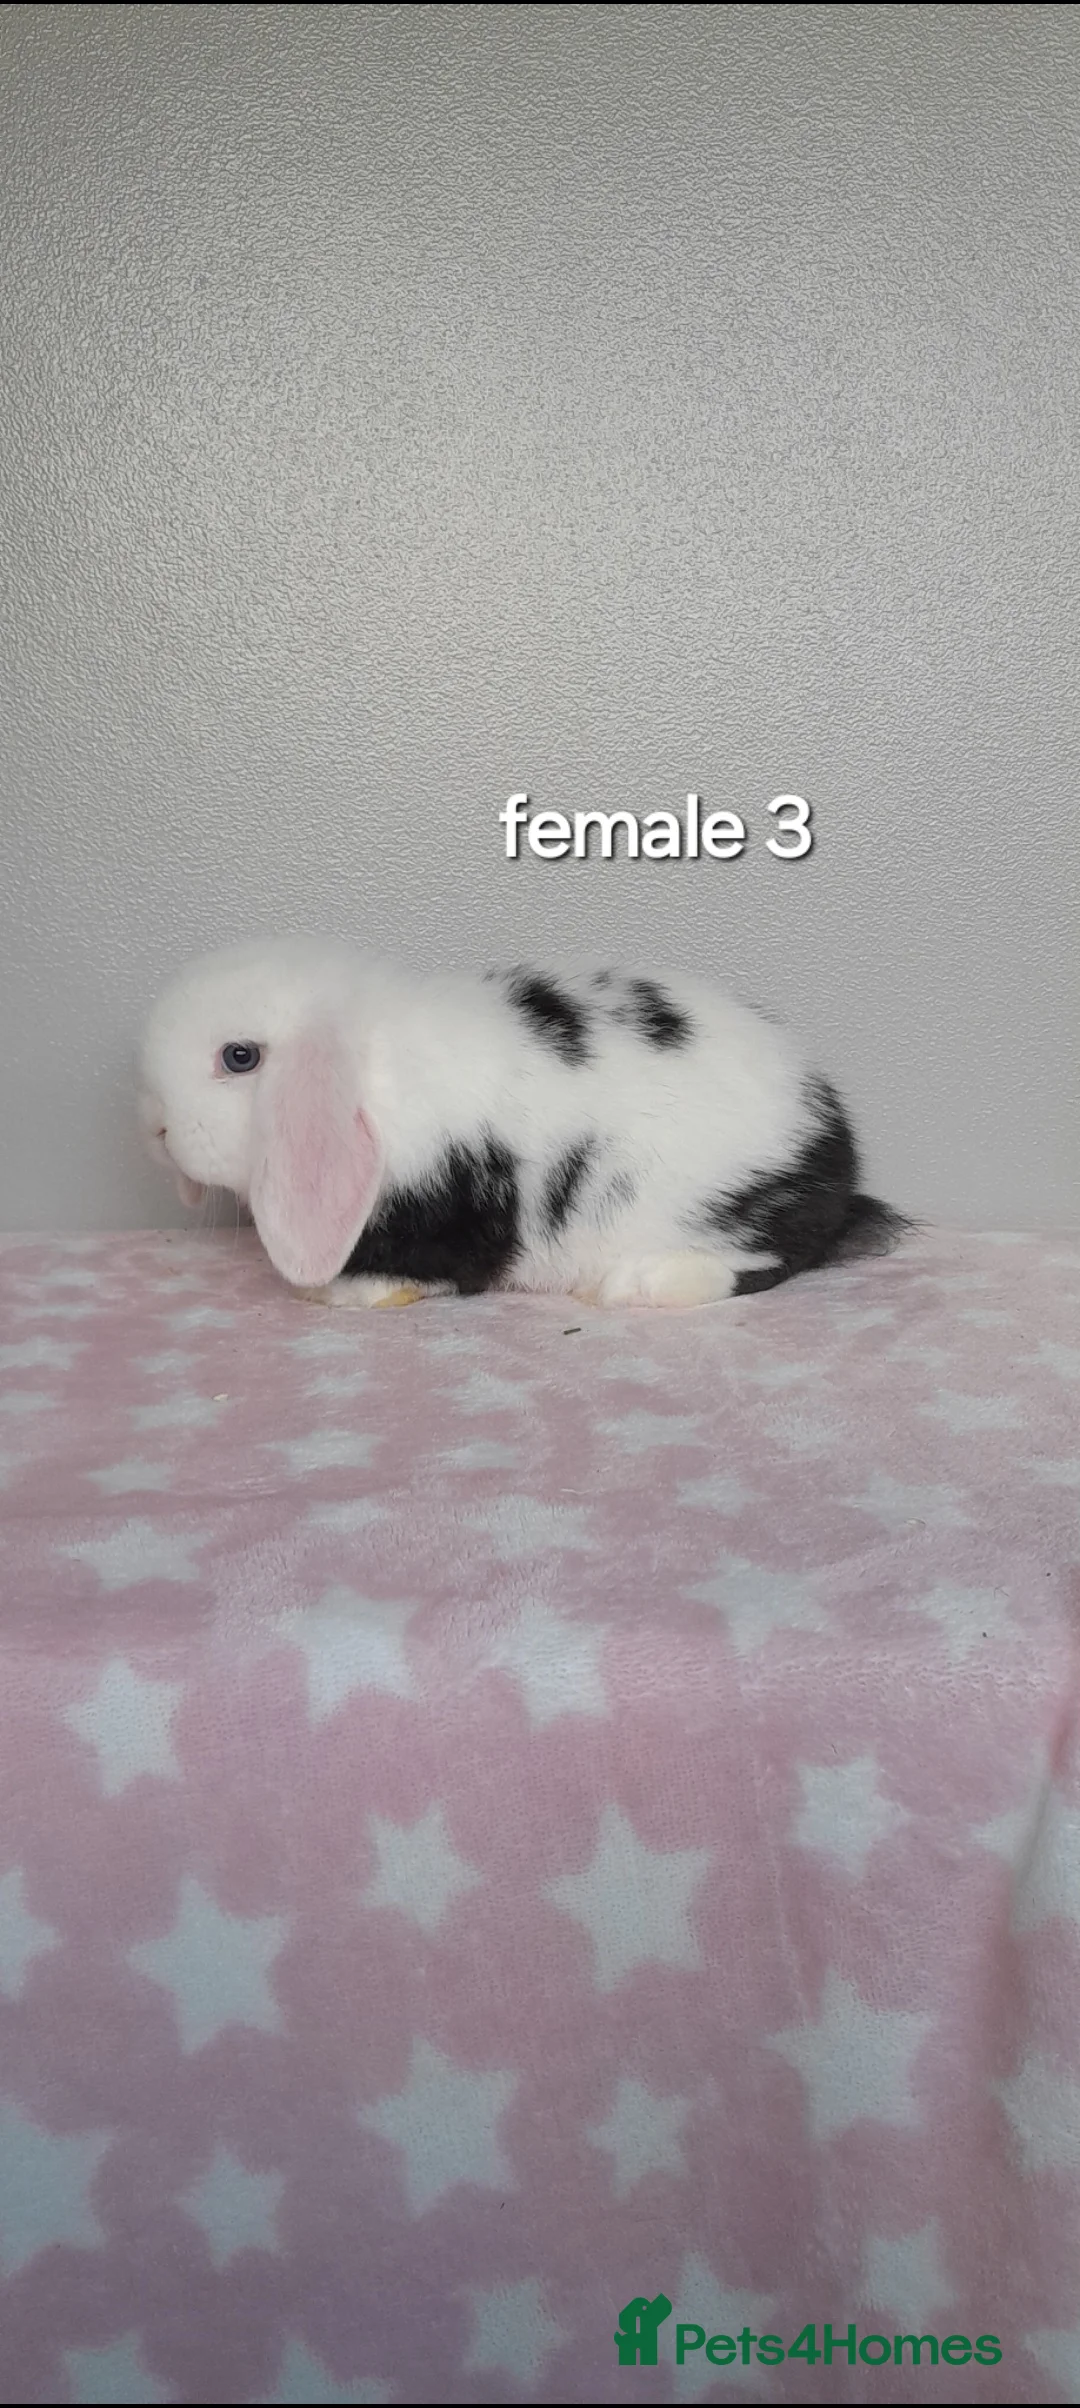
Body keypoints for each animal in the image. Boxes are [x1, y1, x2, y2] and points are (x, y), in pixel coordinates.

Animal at [136, 935, 909, 1310]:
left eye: (239, 1058)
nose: (157, 1132)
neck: (378, 1070)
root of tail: (836, 1157)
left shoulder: (458, 1202)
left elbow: (445, 1264)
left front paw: (349, 1290)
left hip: (732, 1205)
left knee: (768, 1264)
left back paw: (637, 1285)